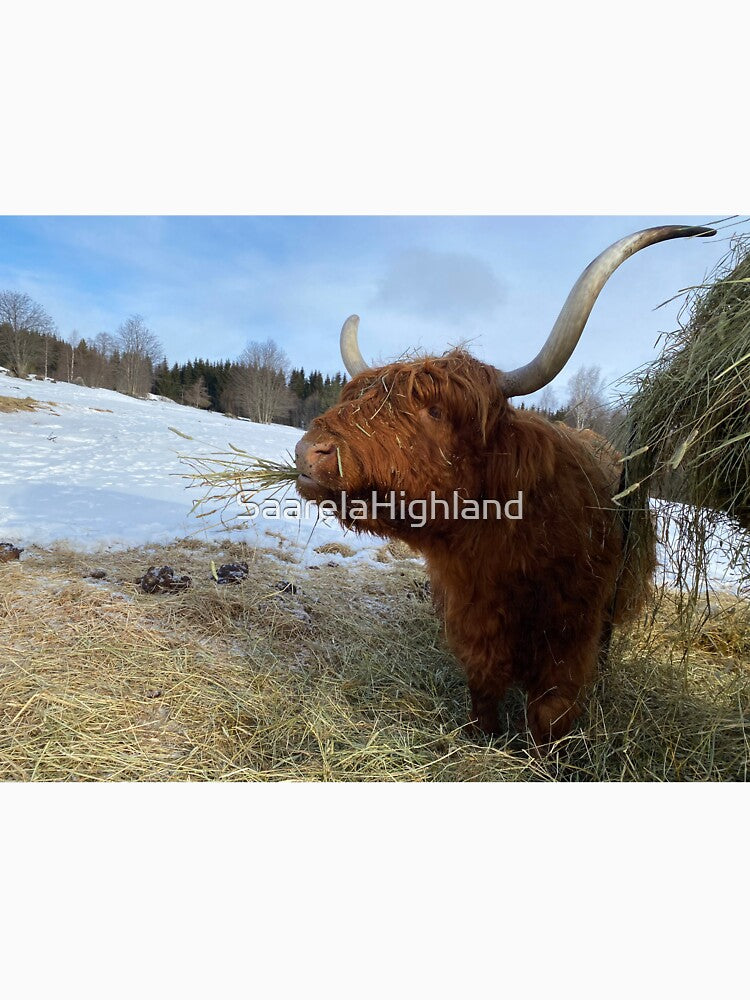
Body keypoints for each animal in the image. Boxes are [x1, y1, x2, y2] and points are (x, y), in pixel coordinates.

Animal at [294, 225, 715, 745]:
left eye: (435, 411)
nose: (310, 451)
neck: (503, 546)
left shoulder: (571, 632)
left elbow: (550, 712)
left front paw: (542, 756)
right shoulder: (474, 619)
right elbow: (484, 687)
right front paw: (485, 736)